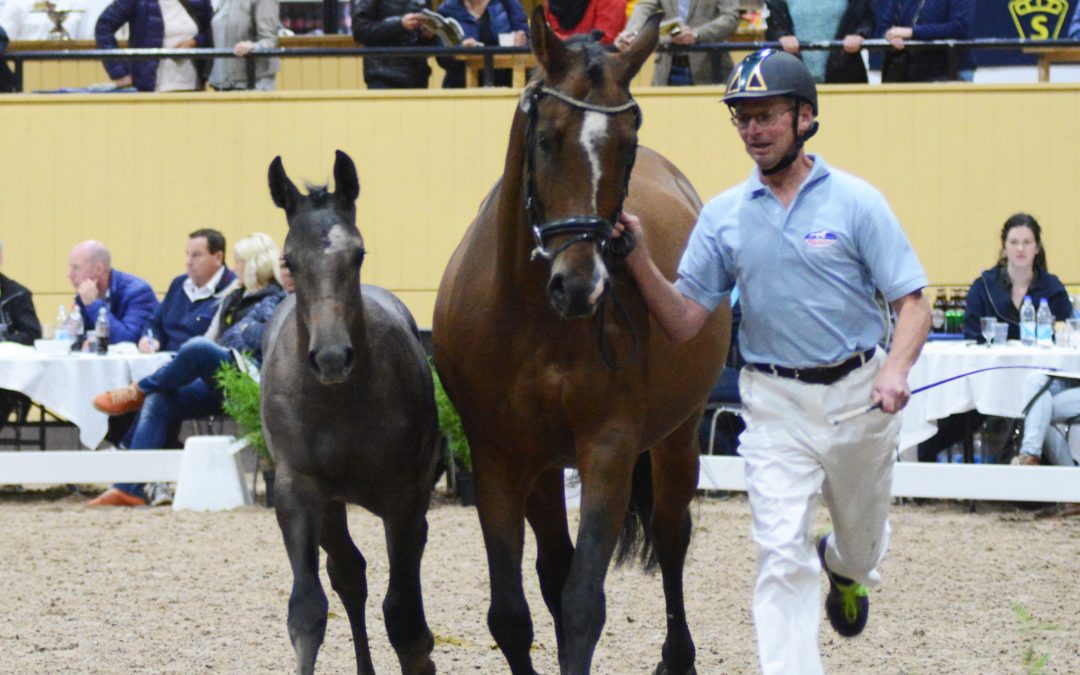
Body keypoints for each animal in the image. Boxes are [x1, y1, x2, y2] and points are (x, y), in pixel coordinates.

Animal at [261, 150, 438, 669]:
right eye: (289, 260)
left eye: (357, 254)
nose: (332, 357)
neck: (340, 403)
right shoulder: (298, 492)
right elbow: (307, 610)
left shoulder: (404, 499)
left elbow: (405, 618)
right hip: (332, 507)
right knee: (348, 574)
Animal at [434, 10, 730, 673]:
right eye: (547, 138)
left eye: (628, 146)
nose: (582, 285)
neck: (534, 322)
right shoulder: (499, 460)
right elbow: (513, 613)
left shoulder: (608, 450)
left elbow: (581, 603)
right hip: (545, 469)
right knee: (552, 567)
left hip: (677, 434)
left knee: (671, 536)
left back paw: (677, 655)